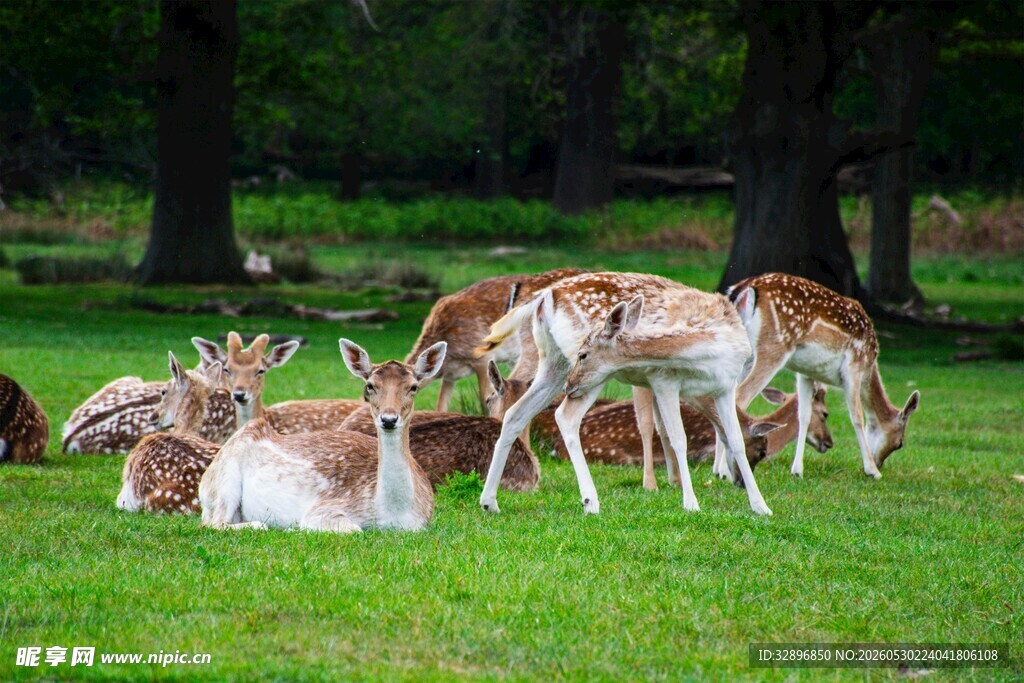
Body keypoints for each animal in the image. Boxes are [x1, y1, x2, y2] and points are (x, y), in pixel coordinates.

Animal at [198, 340, 445, 533]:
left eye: (413, 387)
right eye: (370, 385)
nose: (389, 419)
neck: (393, 513)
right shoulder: (324, 508)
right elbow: (354, 529)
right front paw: (297, 528)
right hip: (224, 478)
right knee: (216, 522)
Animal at [475, 271, 773, 516]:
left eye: (763, 453)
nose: (736, 482)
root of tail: (545, 297)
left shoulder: (725, 387)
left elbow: (733, 438)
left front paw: (760, 506)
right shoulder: (664, 380)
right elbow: (678, 437)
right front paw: (690, 502)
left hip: (552, 361)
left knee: (514, 413)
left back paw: (489, 501)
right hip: (586, 375)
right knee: (565, 416)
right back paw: (591, 501)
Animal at [727, 273, 920, 479]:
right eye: (900, 443)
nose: (879, 463)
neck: (870, 365)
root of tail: (743, 289)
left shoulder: (805, 372)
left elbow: (804, 415)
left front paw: (797, 471)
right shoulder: (854, 366)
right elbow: (857, 417)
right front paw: (872, 471)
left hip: (745, 353)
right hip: (774, 346)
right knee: (740, 397)